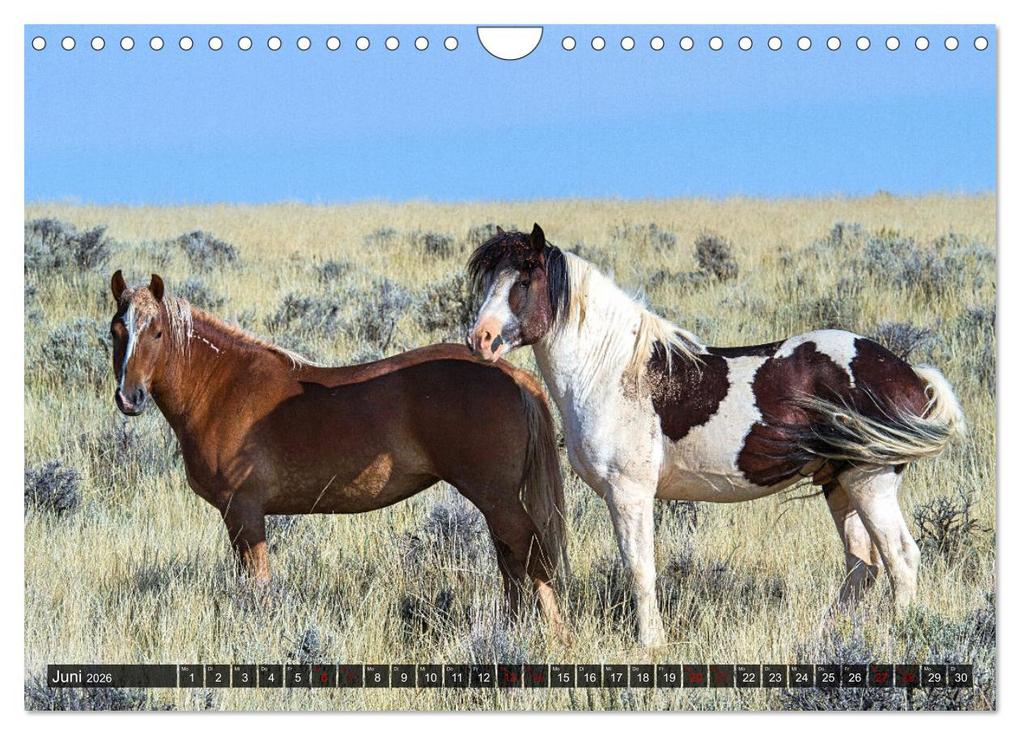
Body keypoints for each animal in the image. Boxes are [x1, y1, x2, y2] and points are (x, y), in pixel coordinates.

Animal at [107, 270, 568, 637]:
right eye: (116, 331)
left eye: (157, 331)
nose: (130, 398)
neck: (223, 386)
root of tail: (512, 373)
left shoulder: (244, 512)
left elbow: (258, 585)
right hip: (494, 500)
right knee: (511, 561)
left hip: (496, 496)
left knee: (532, 554)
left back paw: (555, 636)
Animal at [467, 225, 966, 647]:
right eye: (489, 283)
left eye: (523, 282)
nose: (480, 340)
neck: (611, 369)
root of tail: (908, 374)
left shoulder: (629, 492)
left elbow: (640, 570)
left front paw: (651, 644)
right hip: (839, 483)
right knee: (861, 565)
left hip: (869, 480)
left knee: (900, 558)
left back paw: (899, 634)